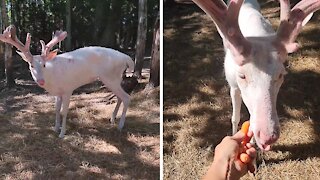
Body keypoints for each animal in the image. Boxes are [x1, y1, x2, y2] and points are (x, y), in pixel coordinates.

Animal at [0, 25, 134, 138]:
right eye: (31, 65)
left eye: (44, 65)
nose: (41, 81)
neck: (53, 77)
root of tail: (127, 58)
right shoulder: (58, 93)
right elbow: (56, 110)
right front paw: (55, 128)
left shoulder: (68, 89)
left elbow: (64, 111)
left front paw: (62, 133)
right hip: (113, 78)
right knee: (120, 96)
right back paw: (112, 119)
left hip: (111, 77)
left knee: (127, 97)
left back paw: (120, 125)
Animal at [191, 0, 320, 150]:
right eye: (242, 76)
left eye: (281, 74)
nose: (268, 137)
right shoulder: (233, 86)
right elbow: (234, 117)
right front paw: (233, 137)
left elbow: (251, 117)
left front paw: (252, 143)